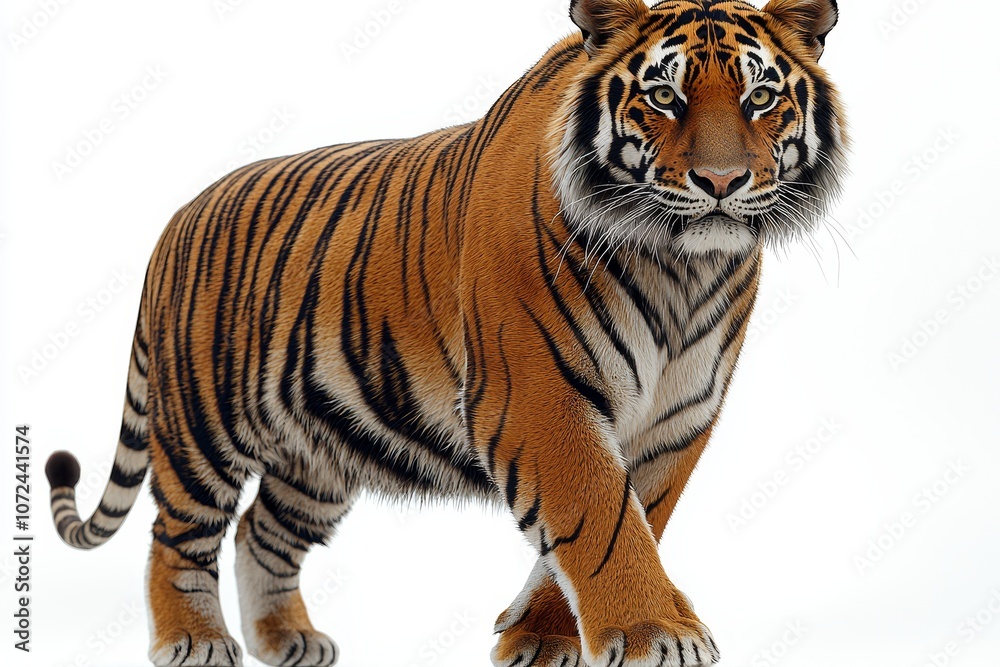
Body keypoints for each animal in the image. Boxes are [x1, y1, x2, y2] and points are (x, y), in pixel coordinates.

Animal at [45, 0, 847, 665]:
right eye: (663, 96)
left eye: (760, 97)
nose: (723, 182)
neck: (681, 267)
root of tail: (178, 216)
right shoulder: (537, 398)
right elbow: (601, 519)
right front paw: (656, 633)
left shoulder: (677, 418)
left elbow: (628, 517)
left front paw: (541, 638)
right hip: (203, 426)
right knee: (176, 536)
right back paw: (194, 641)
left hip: (316, 451)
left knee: (261, 534)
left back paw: (286, 639)